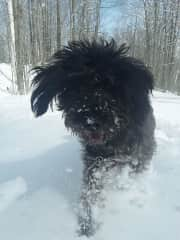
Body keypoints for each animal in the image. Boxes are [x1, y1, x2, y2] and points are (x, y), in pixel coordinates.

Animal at [30, 39, 155, 236]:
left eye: (111, 85)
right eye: (77, 86)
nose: (90, 120)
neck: (115, 138)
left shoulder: (139, 155)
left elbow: (130, 175)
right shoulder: (95, 162)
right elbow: (91, 192)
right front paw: (87, 224)